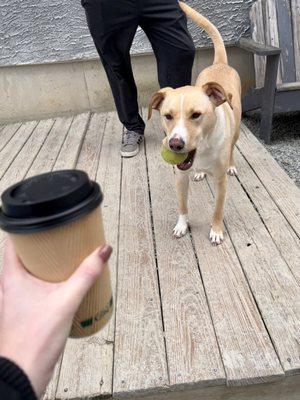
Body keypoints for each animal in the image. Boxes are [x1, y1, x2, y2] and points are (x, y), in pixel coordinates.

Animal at [148, 1, 241, 245]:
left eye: (196, 115)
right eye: (167, 116)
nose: (175, 144)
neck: (204, 149)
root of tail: (219, 63)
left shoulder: (220, 183)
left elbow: (217, 210)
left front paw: (216, 231)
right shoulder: (180, 178)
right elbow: (182, 205)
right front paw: (182, 225)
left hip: (236, 131)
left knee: (233, 148)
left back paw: (231, 165)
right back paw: (199, 172)